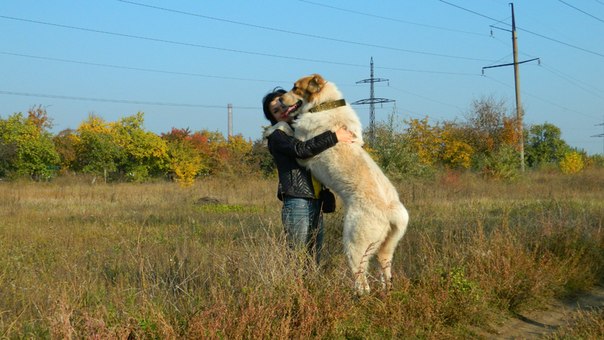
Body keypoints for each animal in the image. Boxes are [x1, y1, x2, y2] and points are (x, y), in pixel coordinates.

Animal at [280, 74, 410, 294]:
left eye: (295, 88)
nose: (279, 99)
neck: (323, 105)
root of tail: (390, 211)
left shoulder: (302, 150)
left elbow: (288, 130)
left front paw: (272, 127)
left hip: (354, 245)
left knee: (363, 283)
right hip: (386, 249)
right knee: (387, 276)